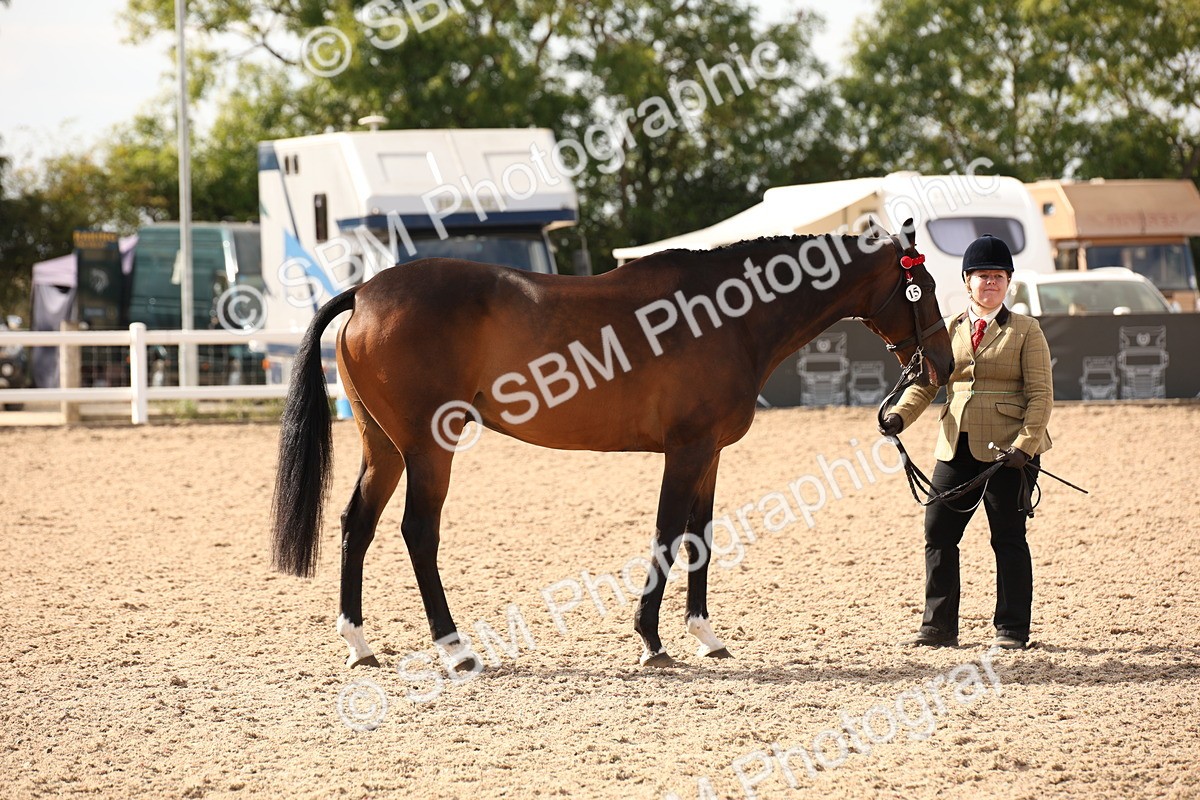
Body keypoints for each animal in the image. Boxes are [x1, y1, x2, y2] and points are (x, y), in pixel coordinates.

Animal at [271, 218, 954, 669]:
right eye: (922, 289)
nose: (944, 365)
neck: (726, 314)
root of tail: (365, 292)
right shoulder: (686, 450)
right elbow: (667, 535)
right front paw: (651, 640)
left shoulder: (709, 454)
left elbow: (701, 538)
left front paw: (705, 636)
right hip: (428, 449)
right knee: (417, 532)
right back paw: (454, 648)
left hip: (382, 448)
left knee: (357, 525)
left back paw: (360, 645)